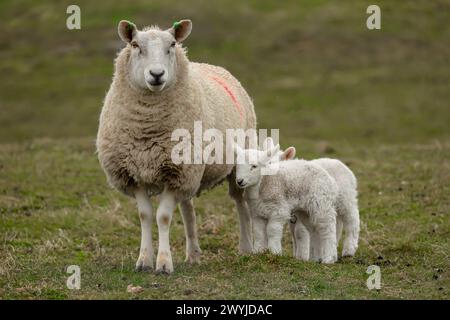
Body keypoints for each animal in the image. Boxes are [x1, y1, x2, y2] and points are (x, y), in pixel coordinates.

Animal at [96, 18, 255, 274]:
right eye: (135, 45)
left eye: (172, 45)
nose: (157, 74)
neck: (147, 127)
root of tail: (216, 67)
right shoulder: (135, 173)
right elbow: (145, 215)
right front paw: (144, 260)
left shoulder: (175, 172)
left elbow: (163, 217)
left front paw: (163, 263)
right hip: (190, 171)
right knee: (188, 209)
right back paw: (193, 254)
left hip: (234, 165)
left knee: (241, 203)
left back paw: (247, 248)